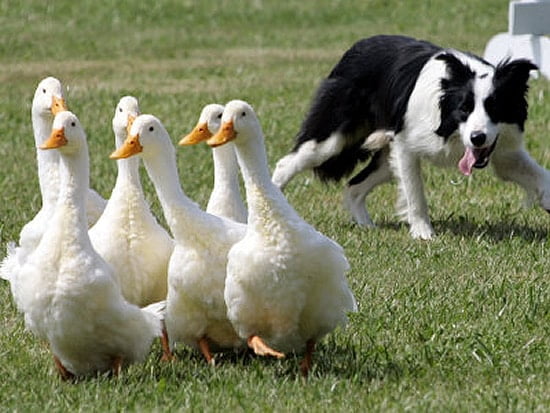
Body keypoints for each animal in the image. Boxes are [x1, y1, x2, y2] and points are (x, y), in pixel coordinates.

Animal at [272, 34, 548, 238]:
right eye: (464, 109)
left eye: (495, 108)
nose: (477, 138)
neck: (449, 128)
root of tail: (356, 47)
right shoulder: (406, 145)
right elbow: (415, 194)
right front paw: (424, 235)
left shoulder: (502, 151)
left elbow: (538, 175)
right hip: (333, 138)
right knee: (287, 163)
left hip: (385, 158)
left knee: (354, 187)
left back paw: (367, 226)